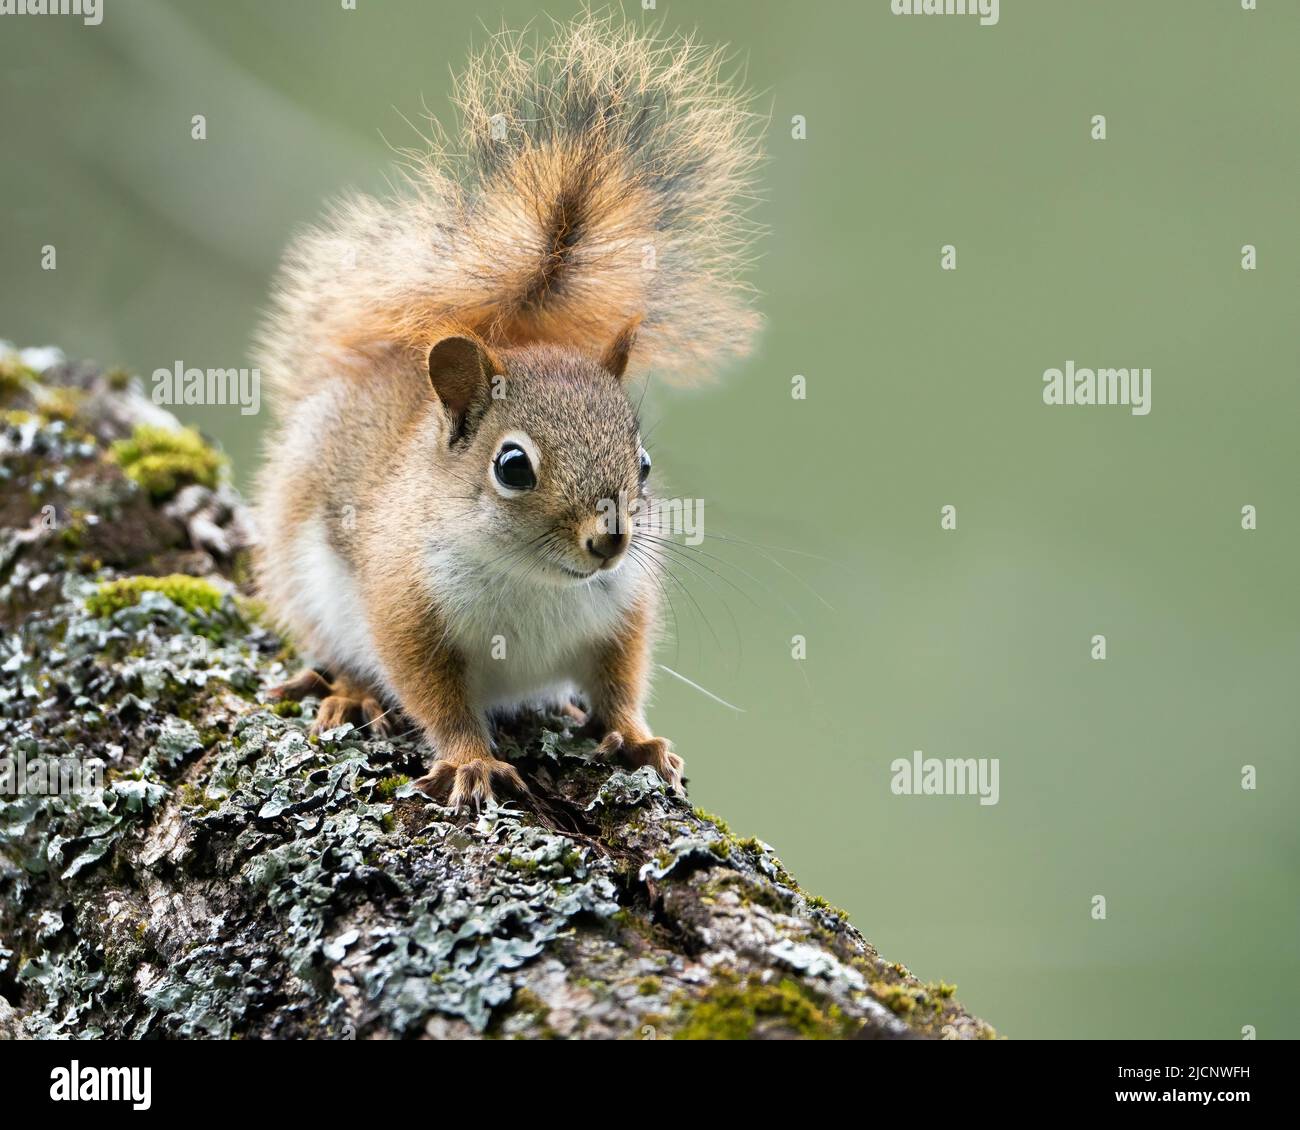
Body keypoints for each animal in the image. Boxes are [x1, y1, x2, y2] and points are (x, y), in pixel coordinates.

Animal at [253, 13, 763, 808]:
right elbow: (435, 696)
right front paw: (470, 760)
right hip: (302, 571)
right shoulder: (403, 603)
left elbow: (619, 686)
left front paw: (640, 740)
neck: (533, 580)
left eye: (645, 463)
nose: (610, 540)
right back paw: (351, 693)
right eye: (513, 467)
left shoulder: (621, 615)